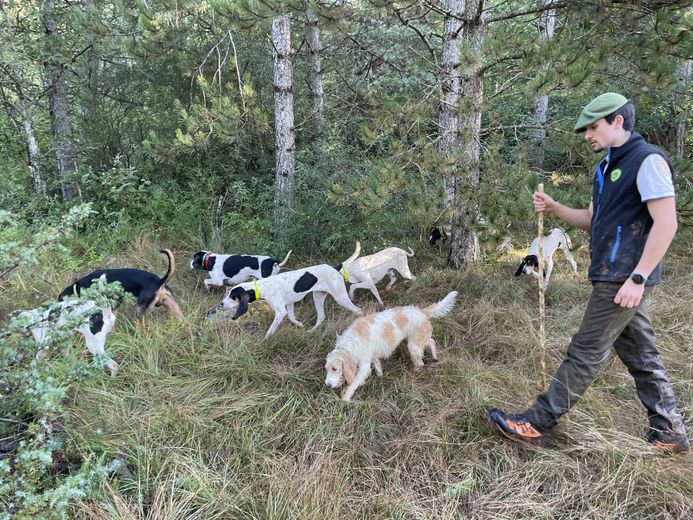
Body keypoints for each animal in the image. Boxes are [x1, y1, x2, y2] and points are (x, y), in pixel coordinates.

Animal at [326, 290, 456, 400]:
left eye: (335, 369)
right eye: (327, 368)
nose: (327, 385)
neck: (351, 343)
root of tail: (422, 311)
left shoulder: (364, 366)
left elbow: (354, 383)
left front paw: (345, 399)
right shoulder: (372, 355)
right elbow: (377, 364)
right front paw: (380, 375)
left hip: (413, 346)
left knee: (420, 362)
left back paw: (417, 371)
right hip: (412, 341)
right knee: (431, 342)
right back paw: (434, 356)